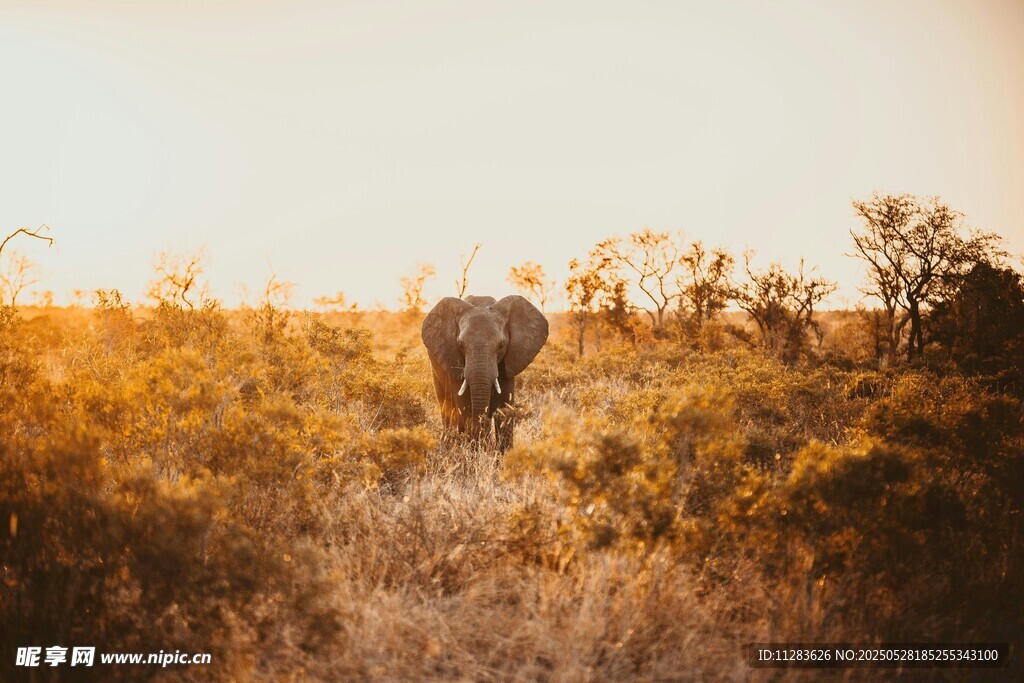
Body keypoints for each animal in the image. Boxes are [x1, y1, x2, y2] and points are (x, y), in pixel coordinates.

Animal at [421, 294, 548, 451]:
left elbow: (504, 405)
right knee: (446, 405)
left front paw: (503, 454)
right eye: (461, 345)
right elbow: (464, 404)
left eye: (501, 345)